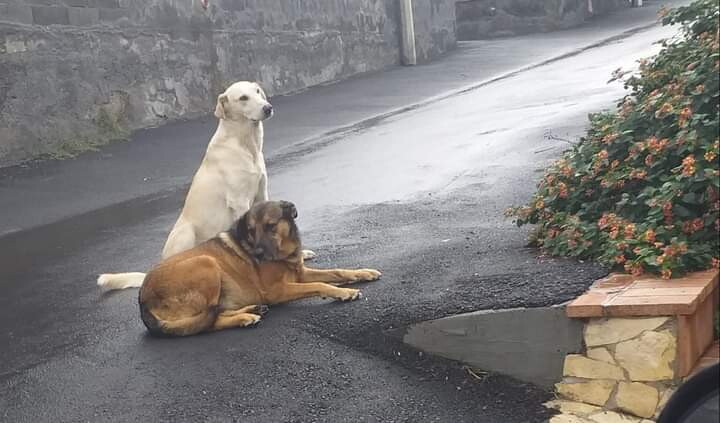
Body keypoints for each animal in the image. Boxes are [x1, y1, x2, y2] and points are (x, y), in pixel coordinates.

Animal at [98, 81, 313, 290]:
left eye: (258, 92)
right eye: (243, 98)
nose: (268, 108)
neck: (245, 144)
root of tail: (152, 272)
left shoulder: (261, 192)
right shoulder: (238, 200)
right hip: (185, 232)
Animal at [138, 201, 381, 336]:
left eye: (271, 226)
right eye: (251, 230)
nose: (257, 254)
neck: (285, 254)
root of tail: (142, 301)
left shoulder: (300, 274)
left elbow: (338, 271)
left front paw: (362, 273)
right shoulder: (277, 291)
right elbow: (321, 284)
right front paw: (343, 292)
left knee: (213, 315)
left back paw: (251, 310)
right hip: (206, 262)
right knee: (208, 323)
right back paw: (245, 318)